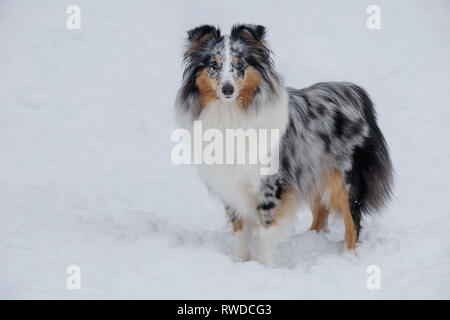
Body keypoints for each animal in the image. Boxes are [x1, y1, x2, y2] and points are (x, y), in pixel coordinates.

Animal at [176, 23, 394, 266]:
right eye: (214, 65)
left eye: (239, 64)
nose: (227, 90)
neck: (231, 113)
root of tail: (352, 91)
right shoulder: (231, 183)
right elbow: (240, 227)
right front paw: (239, 261)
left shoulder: (271, 184)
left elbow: (266, 228)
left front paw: (265, 266)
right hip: (312, 169)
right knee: (321, 212)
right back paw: (311, 240)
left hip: (345, 178)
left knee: (352, 217)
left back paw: (348, 256)